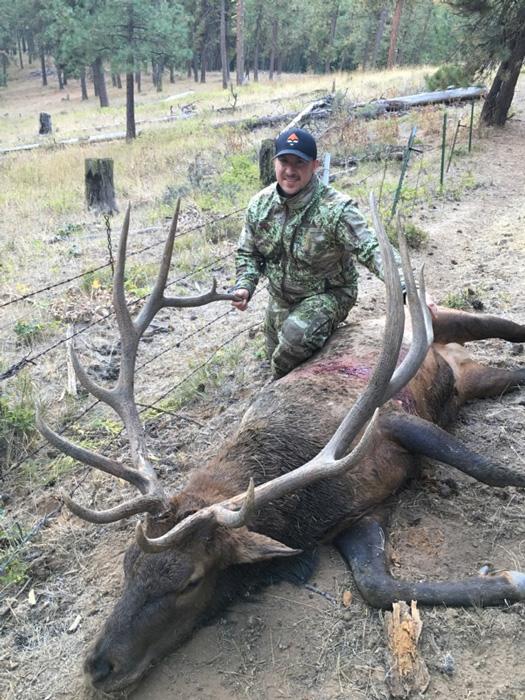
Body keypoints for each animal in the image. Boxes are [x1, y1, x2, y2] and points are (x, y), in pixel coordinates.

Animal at [37, 195, 525, 694]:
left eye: (189, 581)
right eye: (127, 565)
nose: (98, 666)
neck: (302, 510)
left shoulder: (391, 419)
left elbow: (493, 470)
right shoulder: (357, 515)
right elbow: (378, 586)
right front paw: (506, 581)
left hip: (444, 318)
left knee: (508, 327)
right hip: (472, 378)